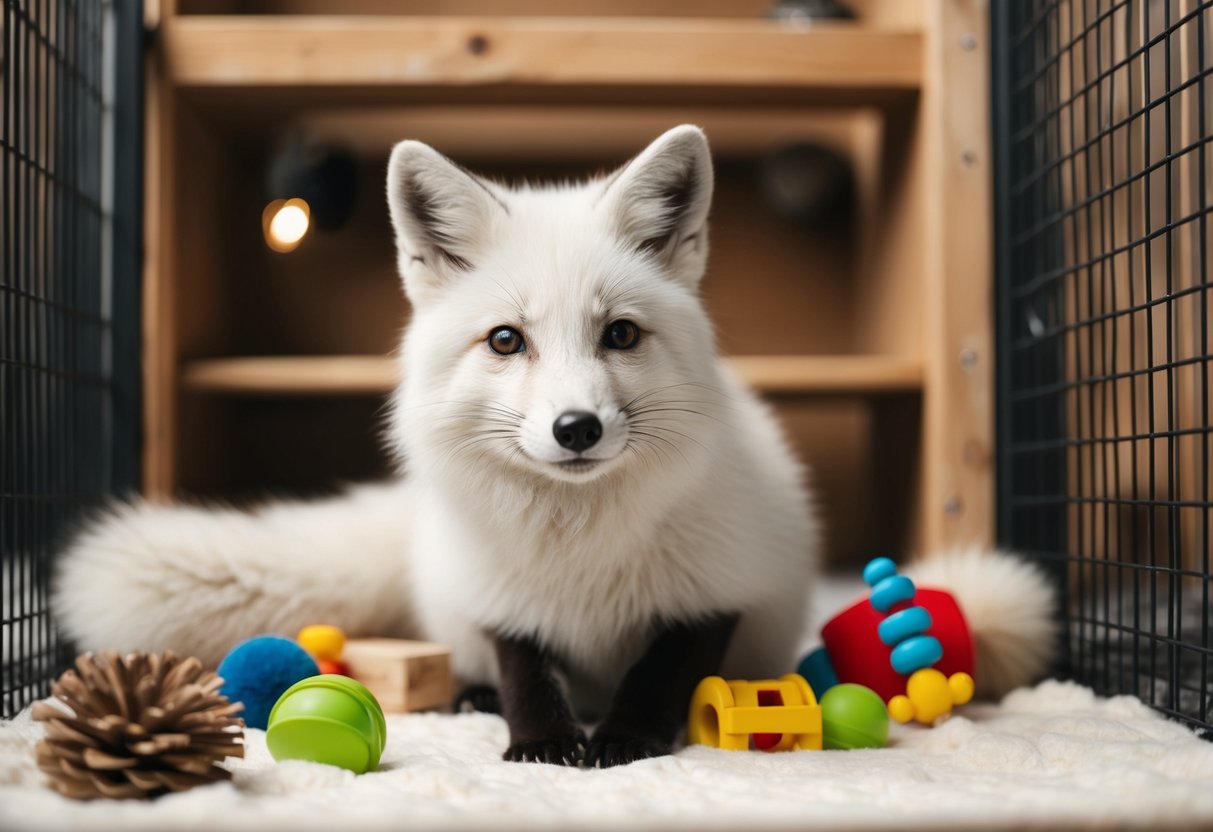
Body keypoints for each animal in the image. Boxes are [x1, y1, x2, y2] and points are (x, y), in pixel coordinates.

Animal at [53, 125, 1056, 767]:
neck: (579, 547)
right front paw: (538, 742)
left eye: (619, 334)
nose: (577, 429)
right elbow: (526, 668)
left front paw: (625, 740)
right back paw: (469, 698)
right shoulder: (503, 595)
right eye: (506, 340)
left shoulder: (720, 584)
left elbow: (660, 669)